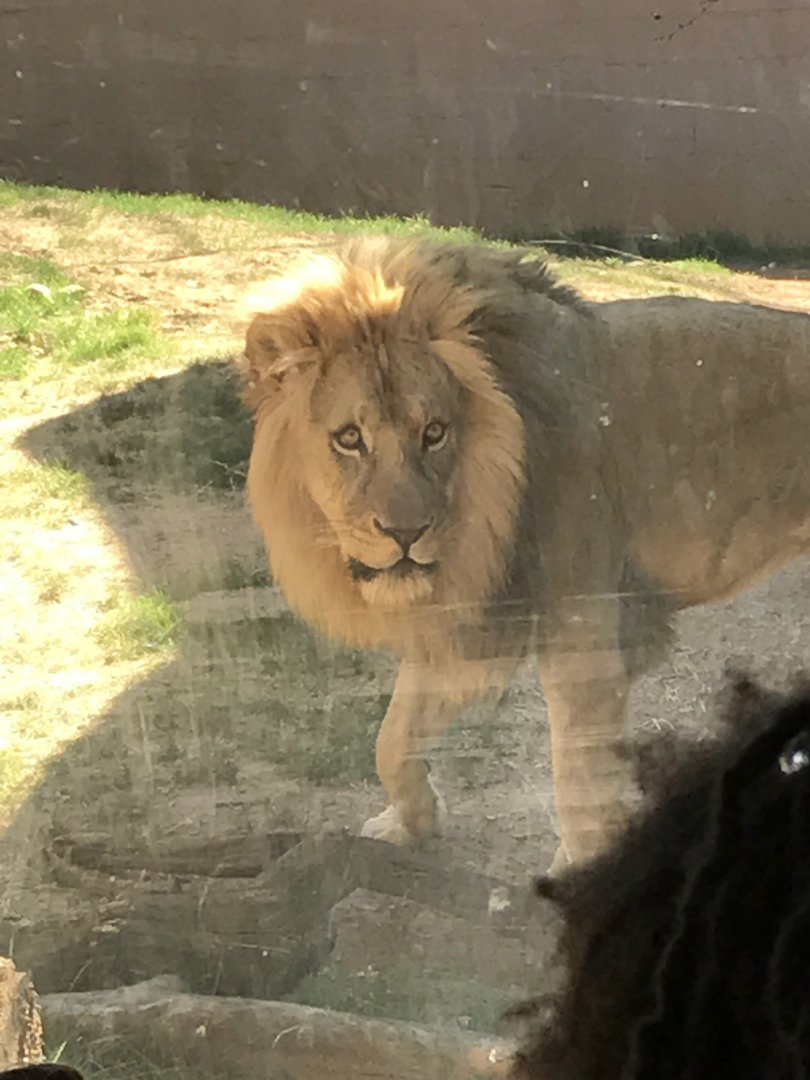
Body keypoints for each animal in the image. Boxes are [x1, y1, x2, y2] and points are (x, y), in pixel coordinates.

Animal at [237, 237, 810, 867]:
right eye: (348, 439)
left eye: (434, 433)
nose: (406, 533)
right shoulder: (472, 627)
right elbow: (391, 736)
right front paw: (410, 825)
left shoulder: (582, 635)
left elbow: (578, 785)